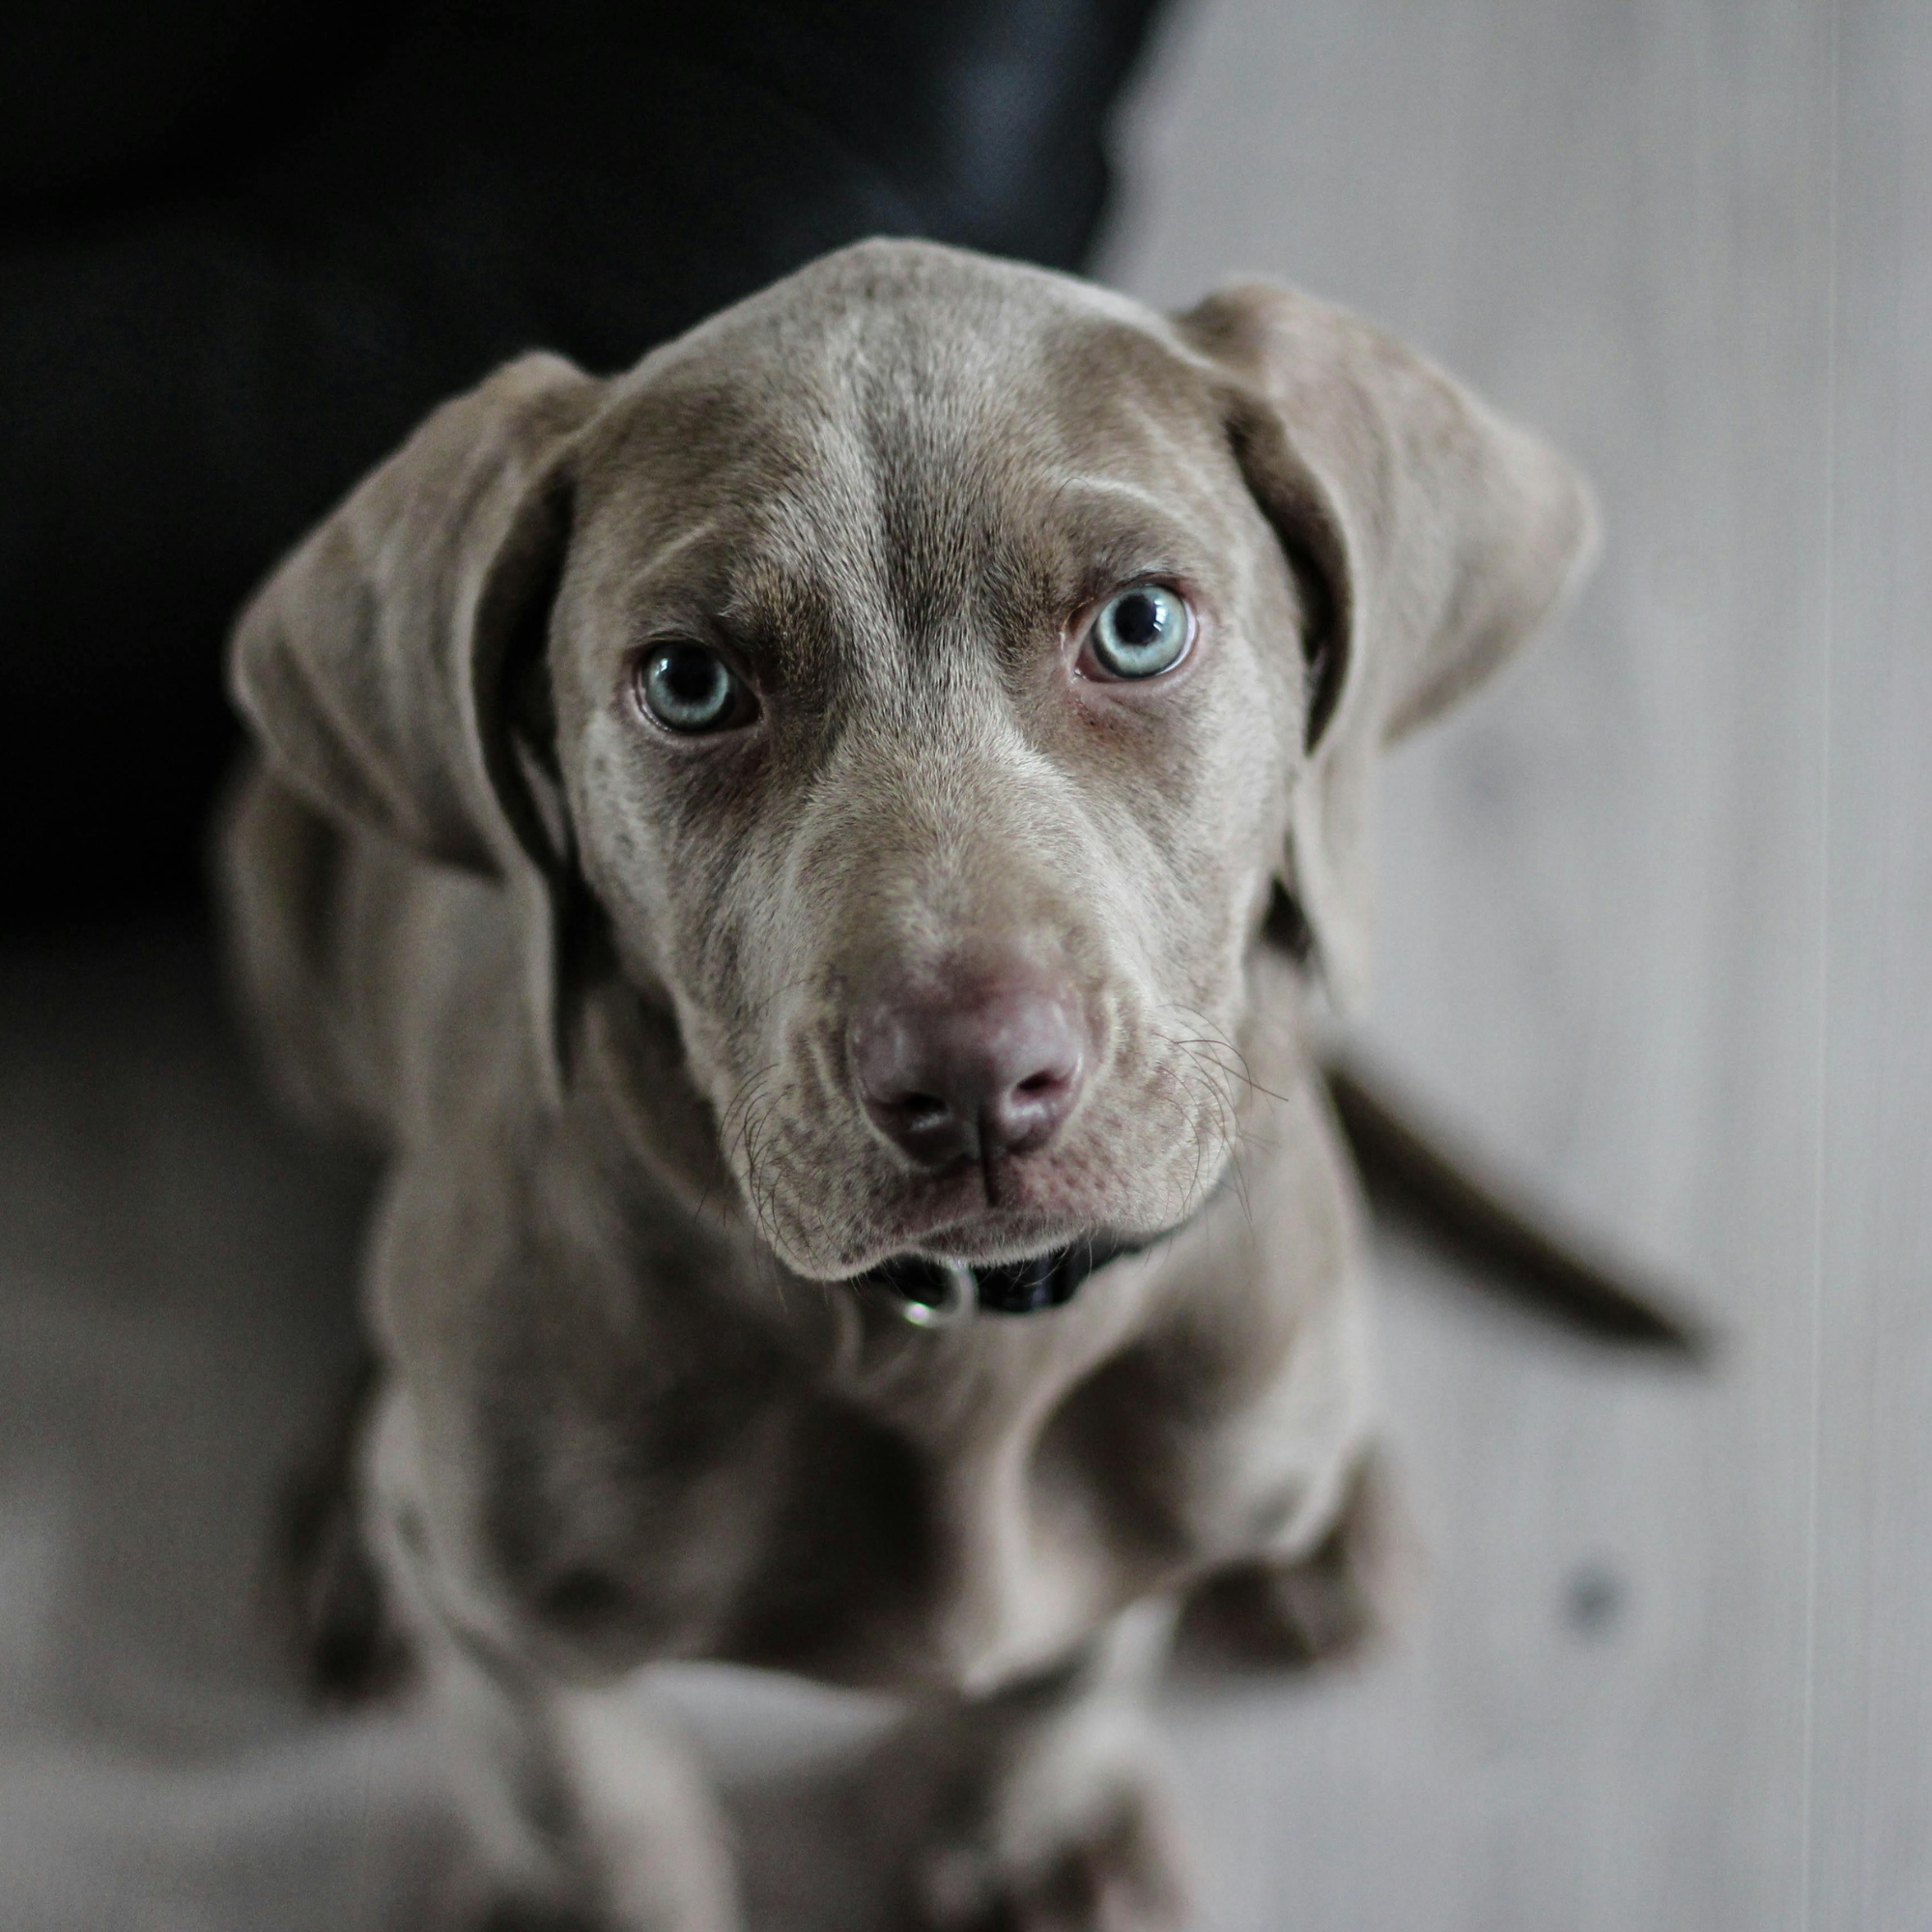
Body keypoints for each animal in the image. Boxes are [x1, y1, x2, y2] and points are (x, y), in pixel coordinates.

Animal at [219, 242, 1592, 1932]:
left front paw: (1030, 1833)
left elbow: (1072, 1666)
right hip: (276, 904)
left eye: (1140, 626)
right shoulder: (505, 1612)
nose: (976, 1080)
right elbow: (579, 1794)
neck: (957, 1343)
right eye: (689, 683)